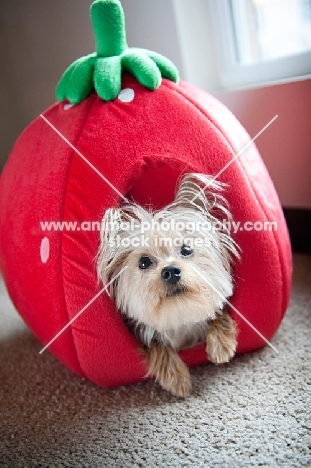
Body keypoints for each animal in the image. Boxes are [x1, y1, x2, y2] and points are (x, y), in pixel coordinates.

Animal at [98, 174, 240, 396]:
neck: (179, 316)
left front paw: (222, 347)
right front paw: (177, 379)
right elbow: (156, 345)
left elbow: (218, 313)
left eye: (186, 249)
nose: (171, 271)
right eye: (144, 262)